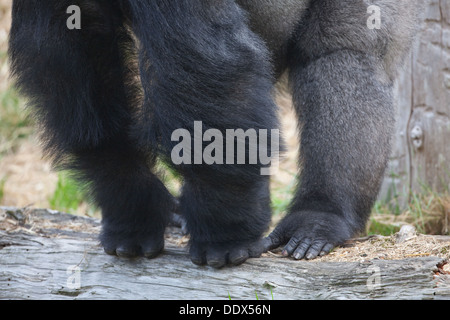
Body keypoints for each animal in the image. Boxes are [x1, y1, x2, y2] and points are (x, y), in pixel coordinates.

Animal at [8, 0, 420, 268]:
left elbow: (208, 65)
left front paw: (226, 231)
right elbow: (72, 44)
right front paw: (131, 202)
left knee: (343, 56)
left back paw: (322, 213)